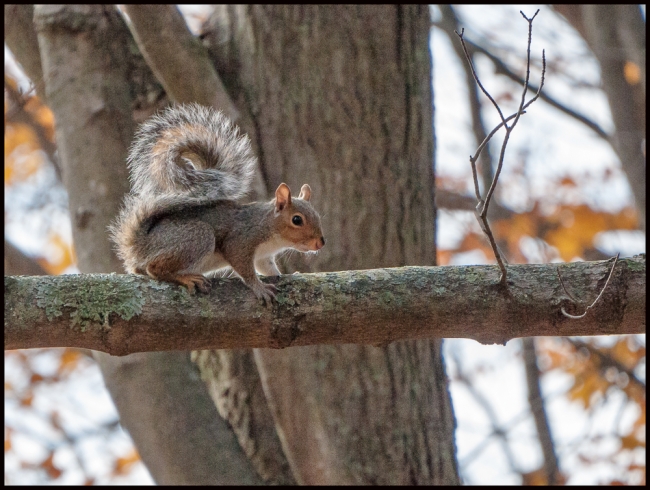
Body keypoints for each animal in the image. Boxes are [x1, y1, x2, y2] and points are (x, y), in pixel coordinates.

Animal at [109, 103, 325, 302]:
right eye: (297, 220)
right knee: (153, 268)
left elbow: (267, 269)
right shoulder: (241, 240)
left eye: (317, 216)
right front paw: (259, 288)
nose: (320, 243)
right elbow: (244, 269)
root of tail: (139, 245)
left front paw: (285, 274)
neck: (271, 229)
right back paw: (186, 278)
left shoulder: (264, 257)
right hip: (198, 236)